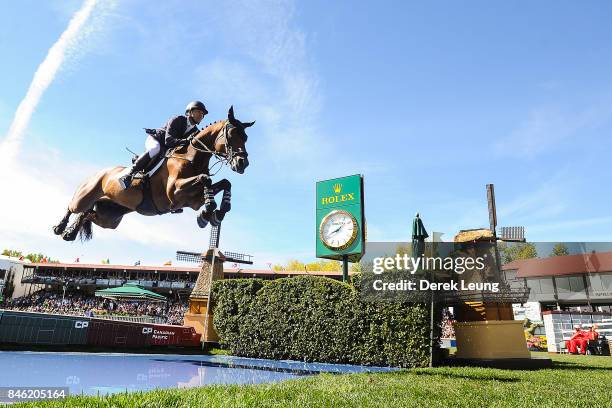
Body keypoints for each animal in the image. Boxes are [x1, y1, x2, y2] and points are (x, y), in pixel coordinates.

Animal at [52, 106, 253, 242]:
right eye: (231, 134)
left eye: (245, 137)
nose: (242, 163)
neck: (192, 157)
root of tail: (101, 172)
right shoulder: (174, 191)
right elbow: (206, 179)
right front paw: (209, 210)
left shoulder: (192, 200)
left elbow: (224, 183)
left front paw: (214, 213)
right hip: (87, 194)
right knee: (73, 207)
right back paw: (60, 227)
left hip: (110, 217)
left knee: (88, 214)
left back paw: (70, 233)